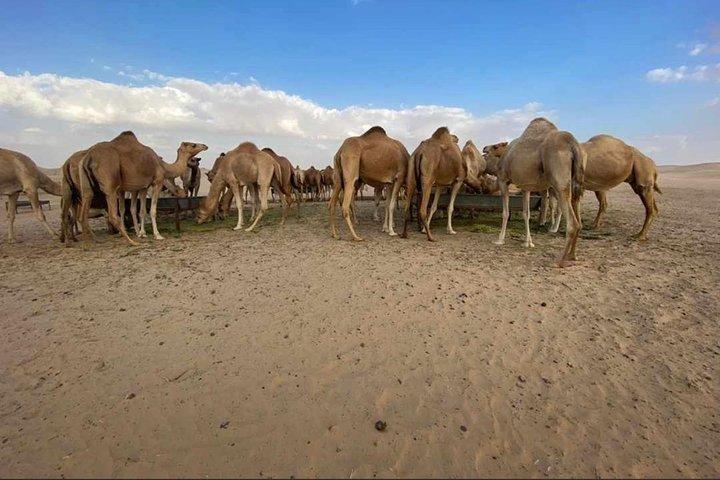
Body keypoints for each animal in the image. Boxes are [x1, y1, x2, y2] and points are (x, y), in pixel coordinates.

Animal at [77, 131, 207, 245]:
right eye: (193, 145)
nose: (205, 145)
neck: (163, 166)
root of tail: (88, 157)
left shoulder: (144, 186)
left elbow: (142, 210)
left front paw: (142, 233)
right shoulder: (157, 182)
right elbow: (152, 210)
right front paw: (157, 235)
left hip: (86, 185)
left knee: (83, 213)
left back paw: (89, 243)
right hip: (110, 184)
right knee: (113, 214)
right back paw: (131, 241)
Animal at [483, 118, 586, 267]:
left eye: (495, 146)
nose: (484, 147)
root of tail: (572, 144)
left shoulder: (503, 180)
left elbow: (505, 212)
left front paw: (499, 240)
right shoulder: (526, 187)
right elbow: (526, 213)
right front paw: (528, 242)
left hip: (559, 181)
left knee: (573, 223)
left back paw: (559, 260)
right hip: (575, 182)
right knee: (578, 218)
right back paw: (573, 256)